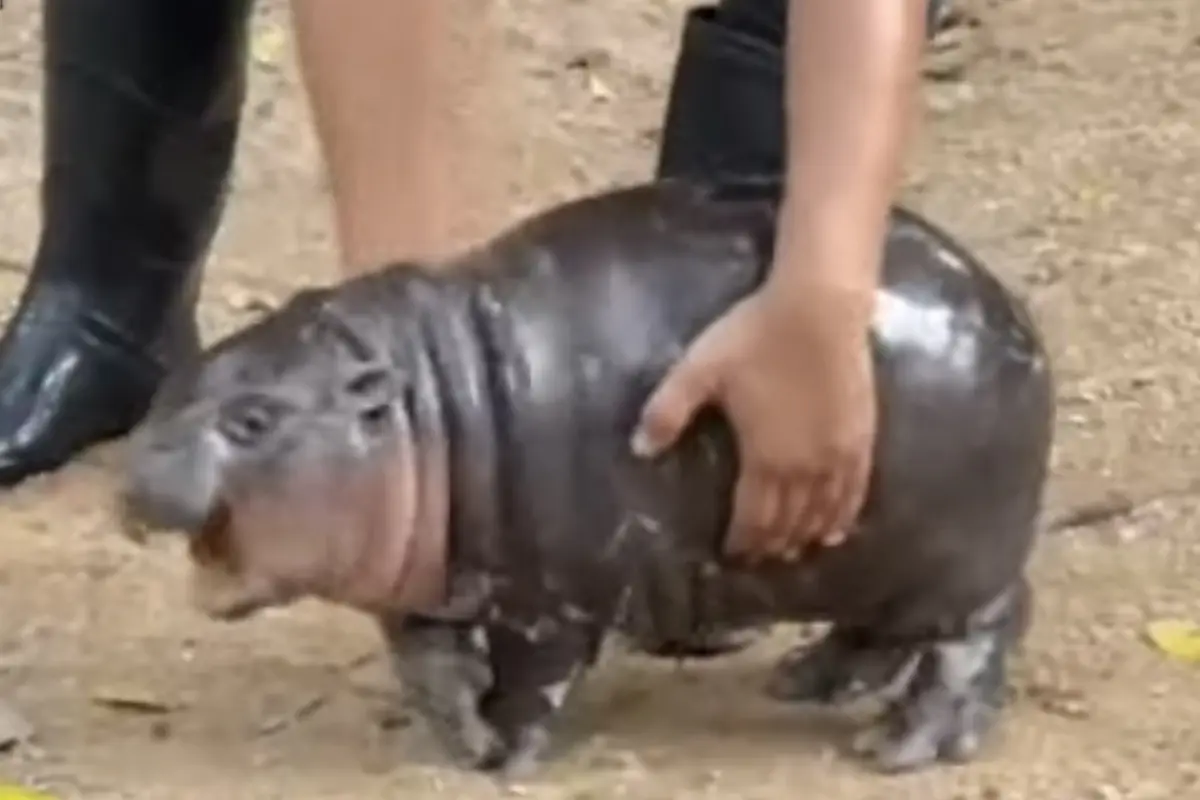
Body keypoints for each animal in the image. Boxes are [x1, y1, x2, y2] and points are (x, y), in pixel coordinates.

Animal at [121, 177, 1054, 780]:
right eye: (175, 381)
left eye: (253, 421)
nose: (131, 475)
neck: (426, 407)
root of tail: (1012, 315)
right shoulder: (425, 588)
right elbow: (431, 665)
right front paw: (459, 740)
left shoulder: (554, 600)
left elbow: (533, 682)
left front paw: (507, 760)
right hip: (875, 561)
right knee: (878, 633)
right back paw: (804, 682)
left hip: (961, 566)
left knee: (980, 635)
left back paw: (901, 749)